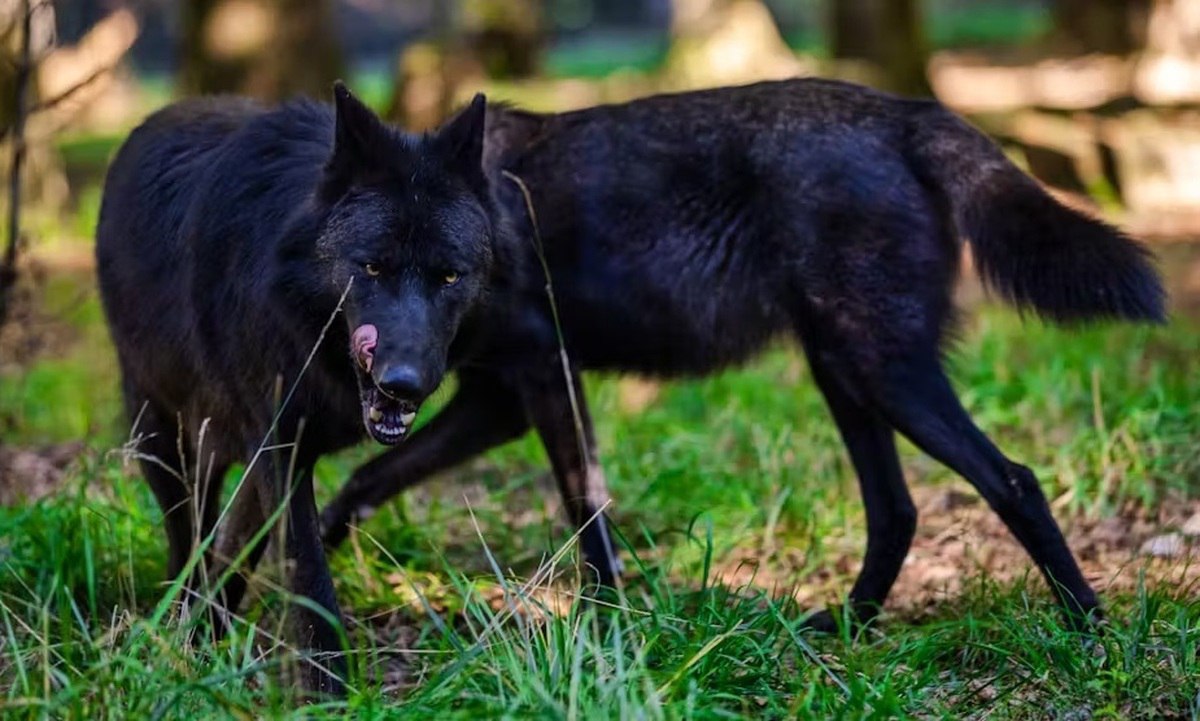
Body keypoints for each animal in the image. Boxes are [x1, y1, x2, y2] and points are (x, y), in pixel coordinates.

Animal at [93, 77, 1161, 691]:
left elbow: (587, 513)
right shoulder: (489, 400)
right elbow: (352, 485)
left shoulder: (533, 379)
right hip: (845, 374)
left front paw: (611, 634)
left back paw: (1093, 639)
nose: (396, 371)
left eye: (447, 275)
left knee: (1011, 478)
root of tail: (907, 109)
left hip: (879, 371)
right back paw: (843, 629)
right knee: (897, 505)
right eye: (375, 269)